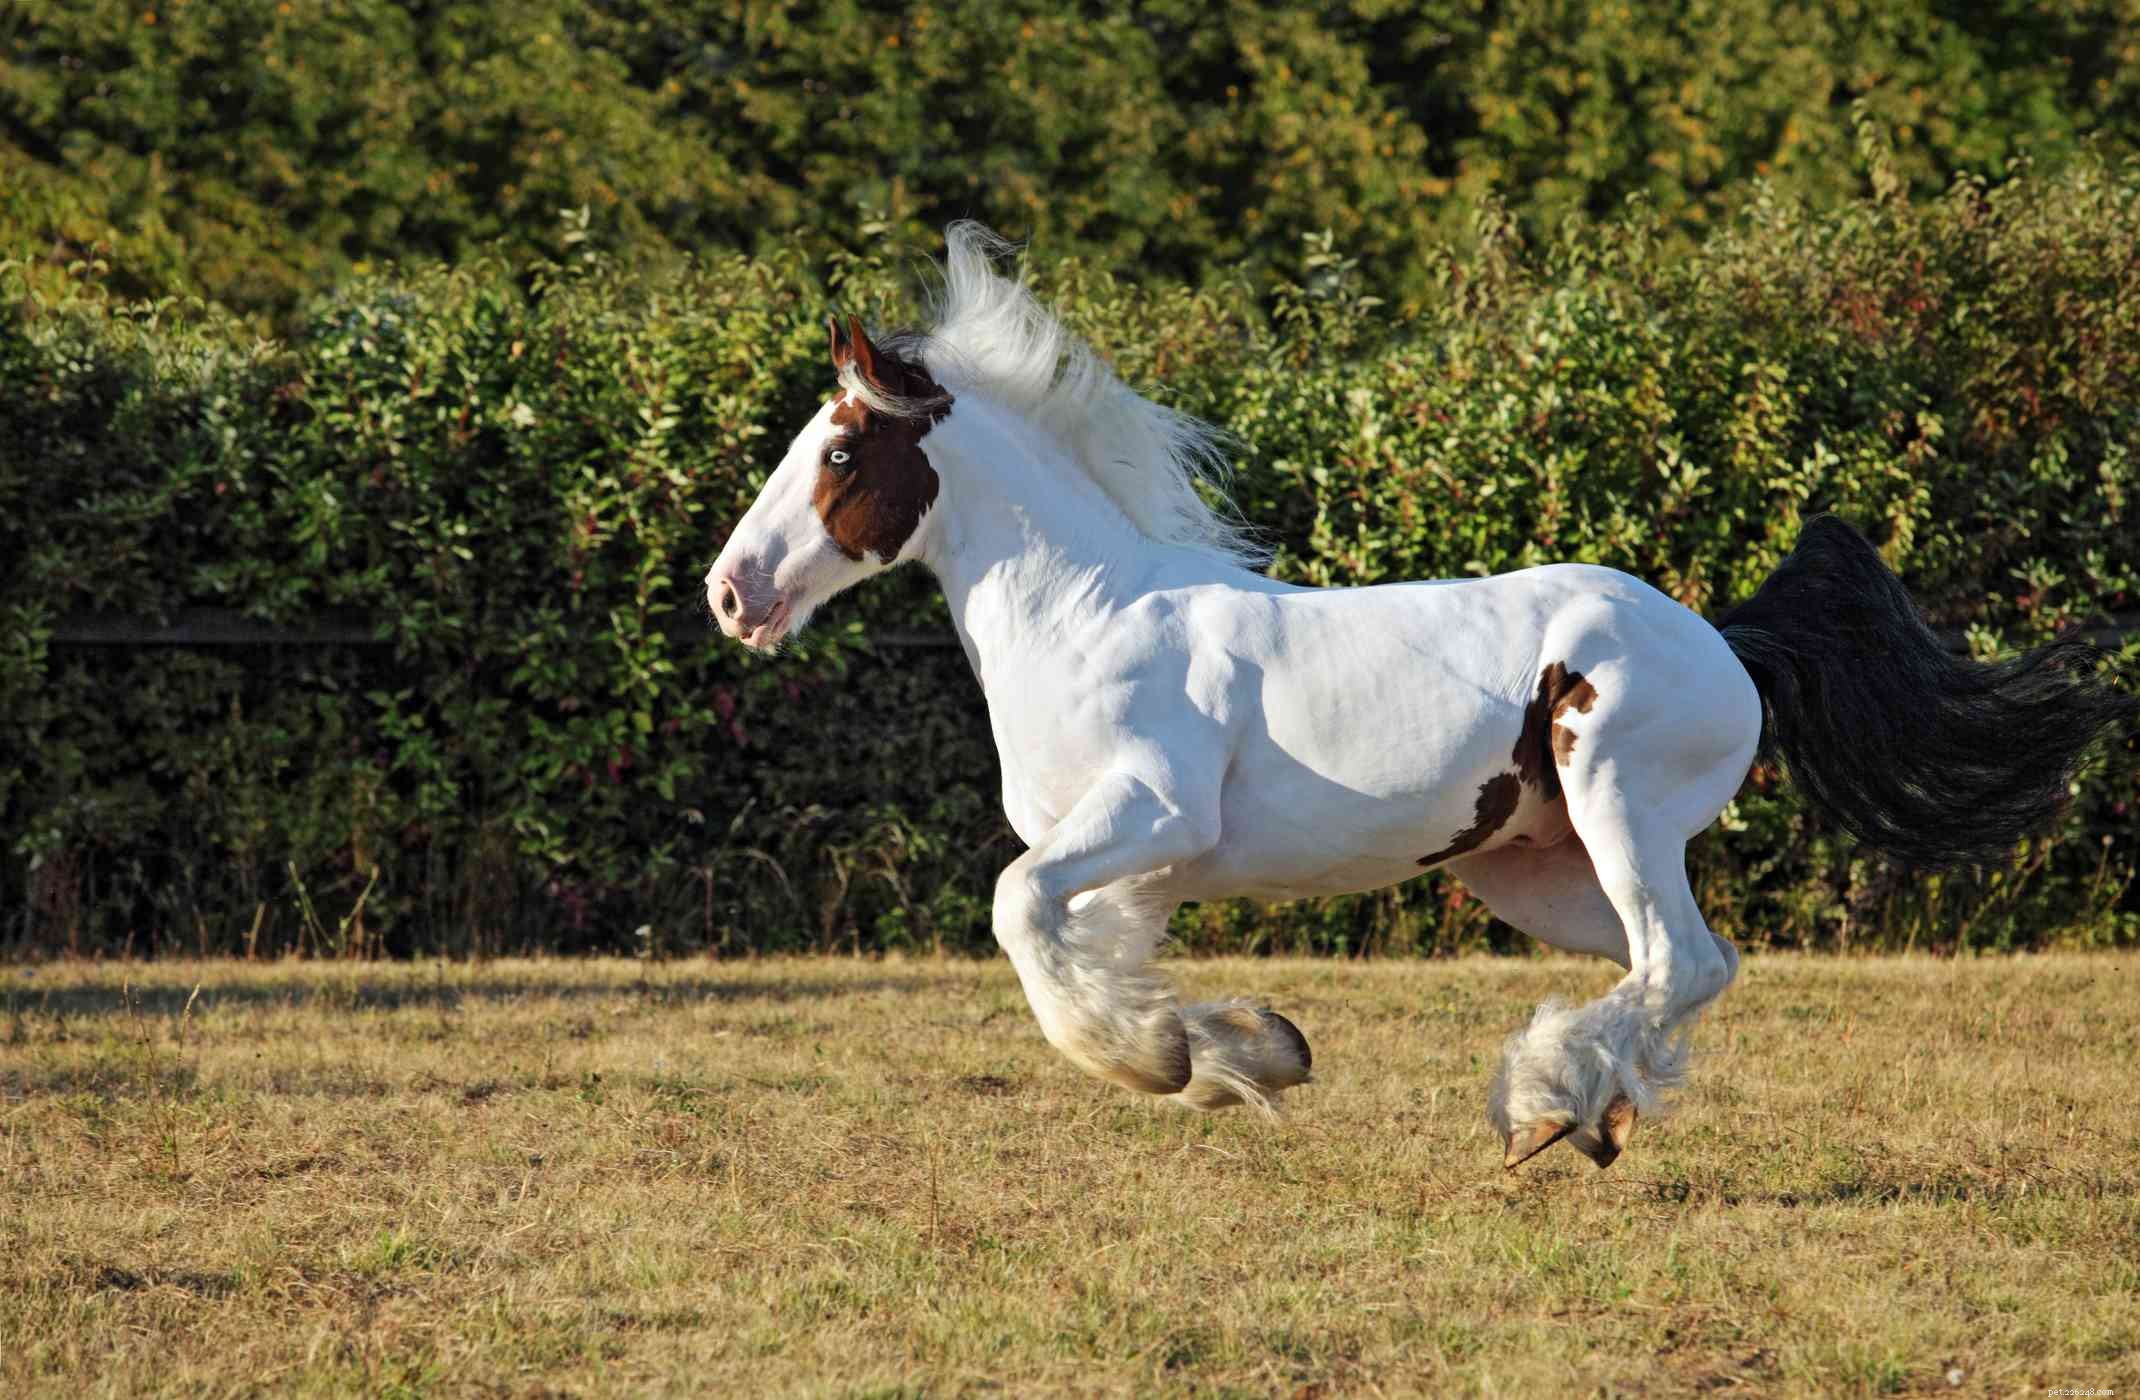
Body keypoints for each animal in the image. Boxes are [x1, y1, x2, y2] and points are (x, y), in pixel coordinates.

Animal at [706, 222, 2132, 1170]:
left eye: (841, 452)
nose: (732, 593)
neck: (1088, 615)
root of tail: (1720, 636)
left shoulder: (1150, 818)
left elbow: (1018, 914)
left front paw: (1167, 1058)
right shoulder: (1126, 865)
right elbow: (1084, 949)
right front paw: (1242, 1052)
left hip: (1618, 807)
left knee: (1681, 956)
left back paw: (1545, 1107)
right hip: (1533, 868)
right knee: (1674, 966)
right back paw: (1590, 1110)